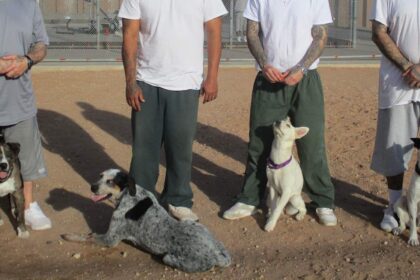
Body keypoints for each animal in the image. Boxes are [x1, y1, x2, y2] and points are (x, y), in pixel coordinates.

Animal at [64, 170, 231, 272]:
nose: (92, 187)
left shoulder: (109, 239)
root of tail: (215, 253)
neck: (129, 195)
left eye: (110, 182)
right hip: (194, 224)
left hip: (168, 258)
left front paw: (68, 236)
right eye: (100, 176)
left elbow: (87, 236)